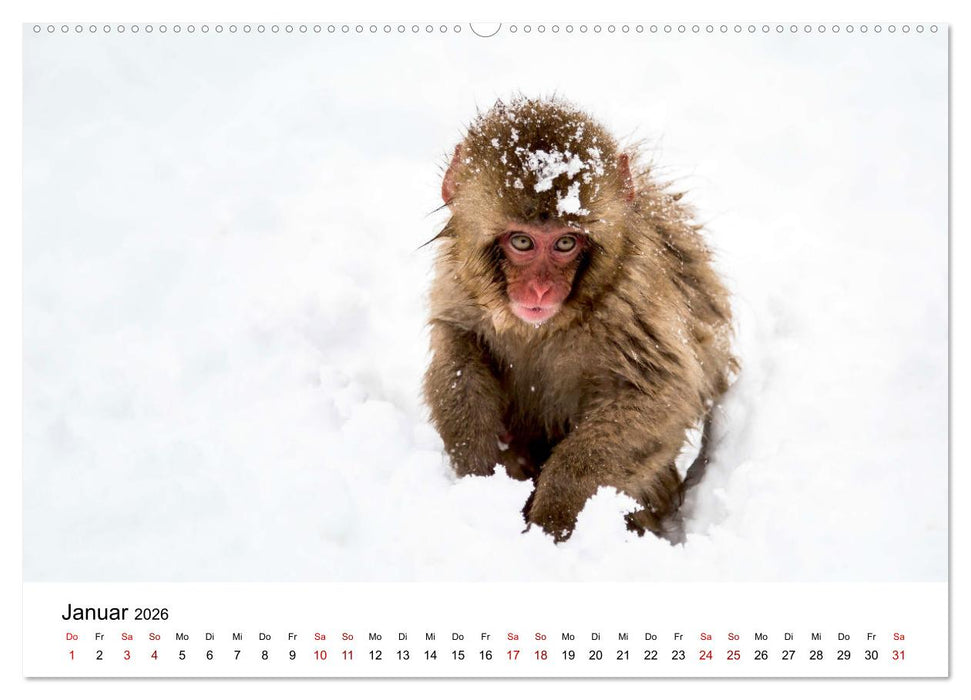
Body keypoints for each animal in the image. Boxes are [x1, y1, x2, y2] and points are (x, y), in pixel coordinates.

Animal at [423, 97, 736, 542]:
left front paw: (553, 514)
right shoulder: (460, 285)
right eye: (522, 241)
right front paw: (478, 470)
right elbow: (458, 346)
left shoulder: (634, 301)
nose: (539, 290)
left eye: (565, 243)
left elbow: (662, 394)